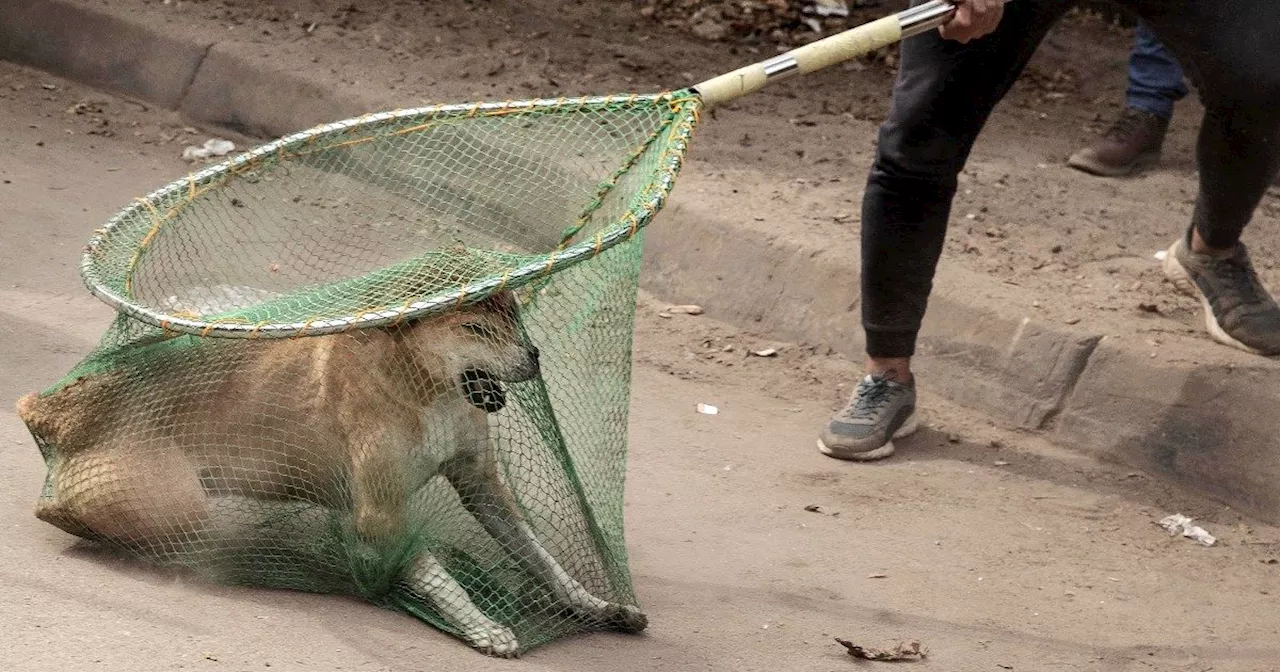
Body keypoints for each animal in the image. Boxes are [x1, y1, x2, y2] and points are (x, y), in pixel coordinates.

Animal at [23, 288, 650, 655]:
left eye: (513, 317)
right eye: (474, 330)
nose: (535, 357)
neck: (423, 385)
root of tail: (57, 409)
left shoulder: (484, 488)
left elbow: (542, 560)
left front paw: (597, 606)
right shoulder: (380, 513)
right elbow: (436, 575)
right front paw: (483, 626)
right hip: (174, 500)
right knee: (71, 513)